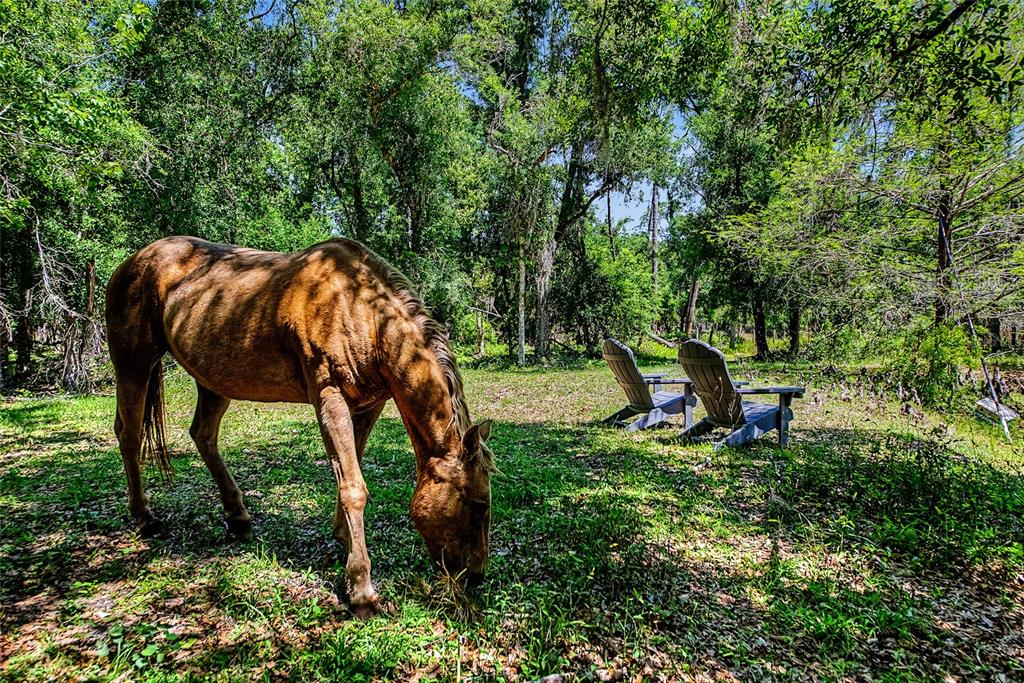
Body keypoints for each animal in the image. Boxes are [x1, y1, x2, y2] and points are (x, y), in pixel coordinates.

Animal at [105, 236, 494, 617]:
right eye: (479, 504)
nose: (476, 577)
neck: (358, 311)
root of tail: (132, 261)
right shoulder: (329, 398)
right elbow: (353, 487)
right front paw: (362, 590)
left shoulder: (370, 404)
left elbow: (350, 471)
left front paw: (342, 540)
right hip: (134, 363)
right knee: (129, 434)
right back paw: (145, 518)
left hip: (213, 380)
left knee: (203, 435)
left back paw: (238, 517)